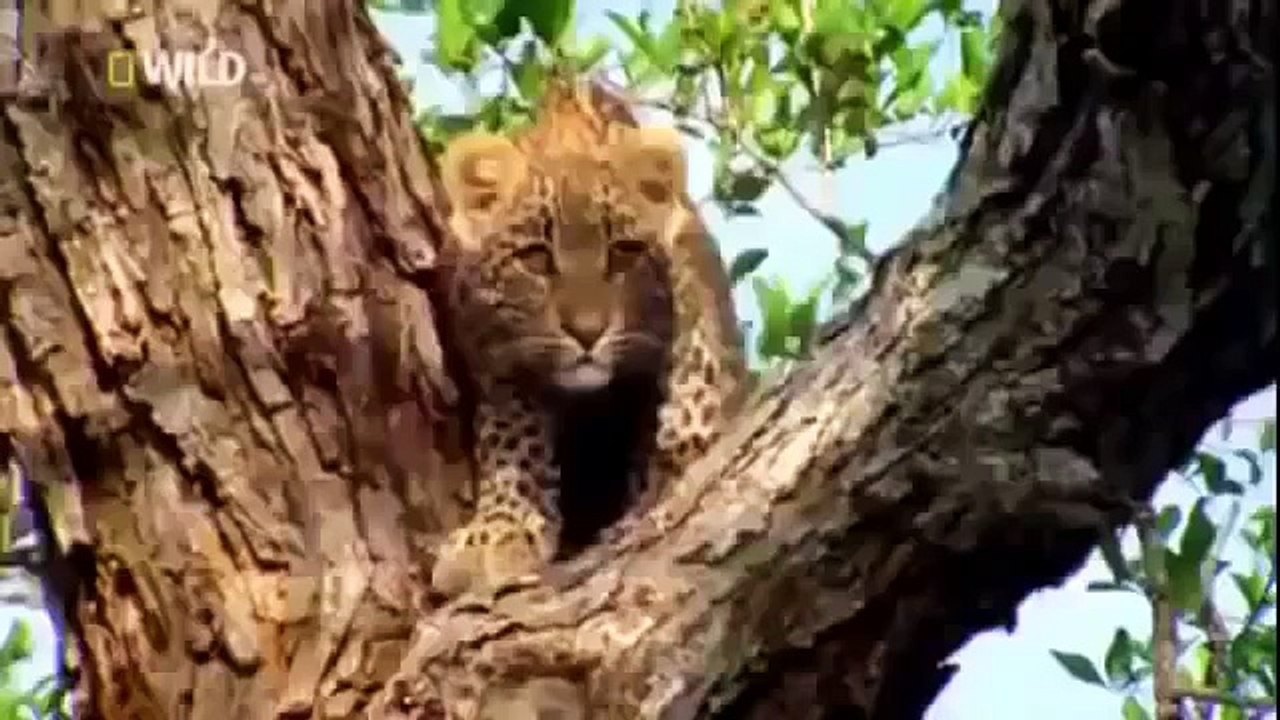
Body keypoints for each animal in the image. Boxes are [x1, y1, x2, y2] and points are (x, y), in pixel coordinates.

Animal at [431, 79, 749, 598]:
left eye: (623, 253)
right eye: (535, 258)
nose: (587, 331)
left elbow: (688, 406)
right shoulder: (496, 358)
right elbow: (512, 435)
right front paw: (497, 531)